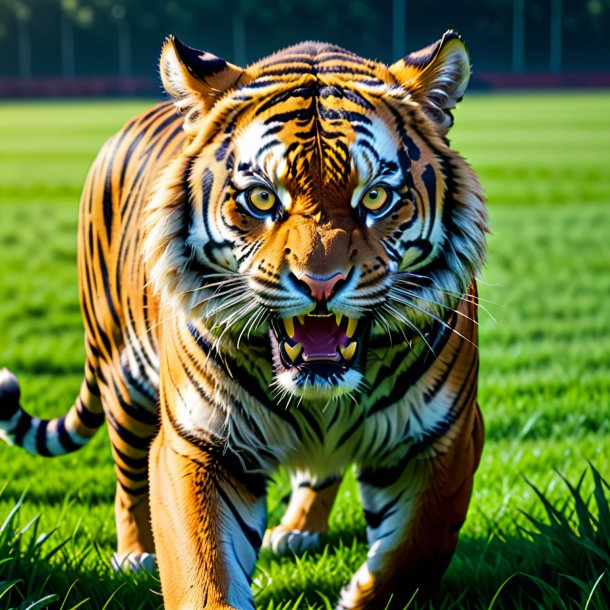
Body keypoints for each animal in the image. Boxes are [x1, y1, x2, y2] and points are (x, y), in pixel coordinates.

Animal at [0, 29, 484, 608]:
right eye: (260, 198)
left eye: (374, 197)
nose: (321, 283)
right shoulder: (199, 443)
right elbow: (202, 571)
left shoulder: (445, 440)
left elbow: (415, 551)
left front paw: (360, 592)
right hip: (122, 380)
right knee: (127, 477)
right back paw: (135, 554)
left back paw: (298, 529)